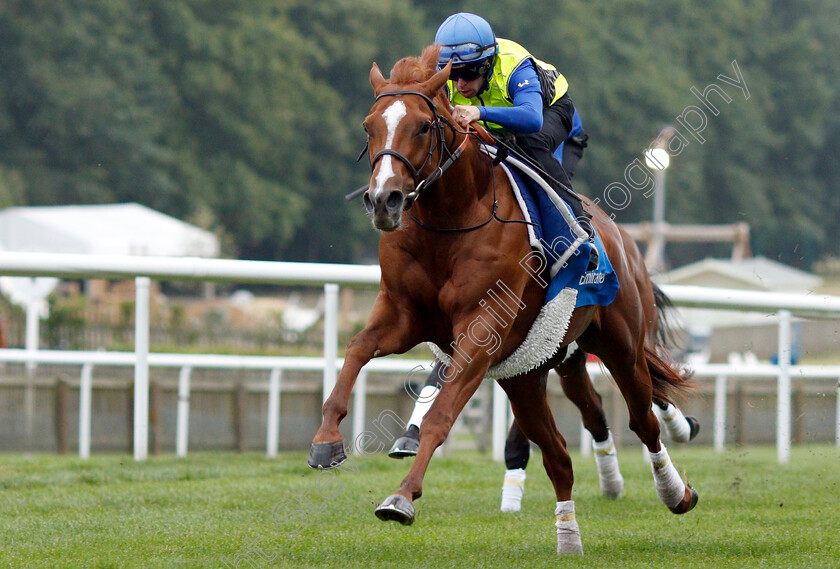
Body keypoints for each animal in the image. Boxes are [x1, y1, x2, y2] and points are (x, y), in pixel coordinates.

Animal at [308, 46, 696, 552]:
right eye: (368, 126)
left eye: (423, 126)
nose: (384, 200)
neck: (450, 221)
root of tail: (622, 239)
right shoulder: (403, 315)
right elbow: (355, 350)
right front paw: (326, 441)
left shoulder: (482, 329)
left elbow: (442, 416)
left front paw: (402, 497)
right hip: (525, 374)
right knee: (558, 455)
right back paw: (568, 538)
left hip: (620, 346)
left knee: (643, 420)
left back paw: (675, 491)